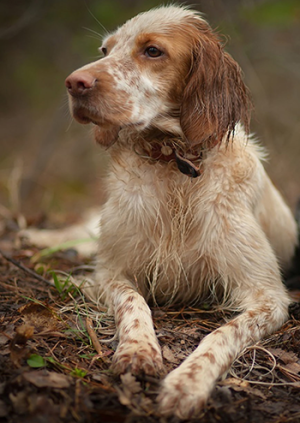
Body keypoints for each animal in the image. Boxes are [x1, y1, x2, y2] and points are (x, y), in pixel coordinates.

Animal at [41, 5, 298, 420]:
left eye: (152, 51)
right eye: (105, 50)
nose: (74, 83)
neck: (173, 163)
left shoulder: (268, 297)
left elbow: (220, 334)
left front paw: (186, 384)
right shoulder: (112, 271)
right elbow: (134, 304)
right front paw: (138, 351)